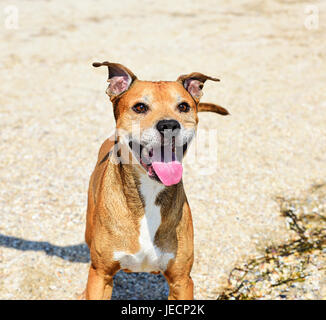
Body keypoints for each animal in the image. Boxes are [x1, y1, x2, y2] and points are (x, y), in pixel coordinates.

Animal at [81, 62, 229, 300]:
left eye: (183, 106)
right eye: (140, 107)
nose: (169, 125)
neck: (149, 192)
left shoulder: (181, 281)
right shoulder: (101, 275)